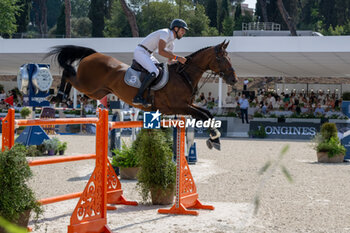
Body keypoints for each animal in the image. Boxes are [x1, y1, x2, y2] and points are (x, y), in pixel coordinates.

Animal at [47, 40, 238, 150]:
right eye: (221, 58)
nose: (234, 79)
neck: (184, 76)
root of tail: (93, 54)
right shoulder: (178, 106)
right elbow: (203, 115)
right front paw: (214, 136)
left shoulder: (187, 105)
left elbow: (208, 113)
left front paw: (215, 138)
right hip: (87, 84)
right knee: (68, 73)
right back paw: (58, 97)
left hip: (96, 91)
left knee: (71, 76)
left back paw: (61, 97)